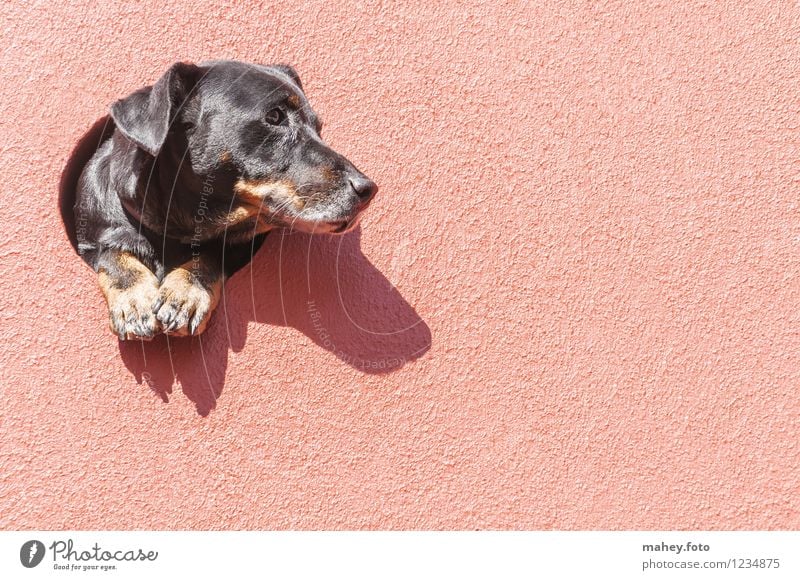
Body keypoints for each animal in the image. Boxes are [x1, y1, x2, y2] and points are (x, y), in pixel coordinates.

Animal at [72, 60, 378, 340]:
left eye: (319, 128)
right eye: (275, 116)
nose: (368, 189)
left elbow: (212, 252)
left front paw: (188, 292)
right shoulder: (93, 237)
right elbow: (112, 253)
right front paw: (134, 301)